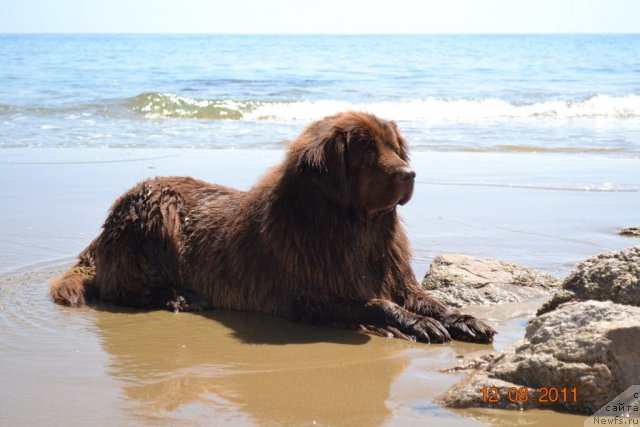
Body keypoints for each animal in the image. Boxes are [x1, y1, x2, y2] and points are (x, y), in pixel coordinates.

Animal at [52, 111, 498, 344]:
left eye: (395, 147)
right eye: (368, 152)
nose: (409, 174)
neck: (353, 230)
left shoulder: (396, 276)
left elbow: (426, 299)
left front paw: (460, 317)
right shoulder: (308, 296)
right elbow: (374, 303)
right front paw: (413, 324)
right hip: (157, 212)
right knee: (121, 289)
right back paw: (180, 297)